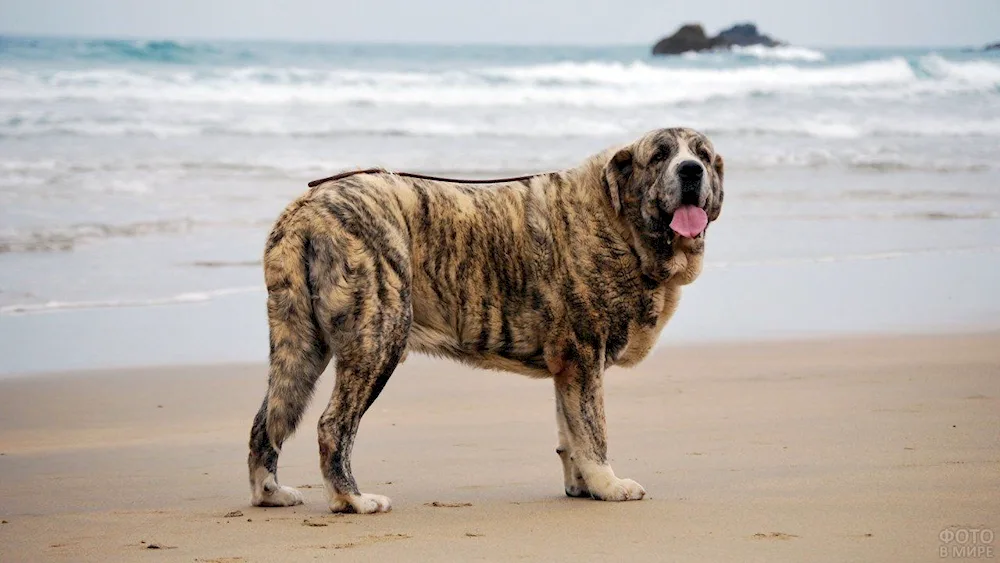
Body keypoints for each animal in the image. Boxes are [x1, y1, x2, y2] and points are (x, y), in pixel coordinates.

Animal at [246, 128, 724, 516]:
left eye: (702, 154)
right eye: (660, 155)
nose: (691, 170)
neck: (620, 221)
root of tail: (307, 207)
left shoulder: (569, 366)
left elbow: (569, 431)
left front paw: (582, 485)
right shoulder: (584, 357)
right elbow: (592, 431)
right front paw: (608, 485)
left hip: (301, 345)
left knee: (267, 419)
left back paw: (270, 492)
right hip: (379, 336)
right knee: (333, 425)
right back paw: (353, 500)